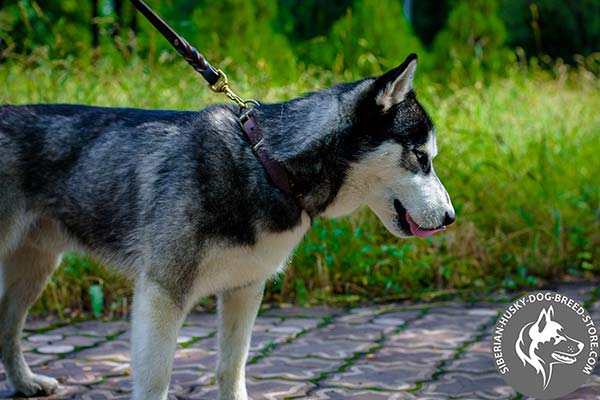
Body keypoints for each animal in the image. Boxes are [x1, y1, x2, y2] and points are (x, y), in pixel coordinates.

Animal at [0, 54, 450, 400]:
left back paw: (24, 383)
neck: (267, 165)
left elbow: (231, 368)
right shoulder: (161, 294)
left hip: (35, 269)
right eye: (421, 157)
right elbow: (156, 379)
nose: (450, 219)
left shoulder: (245, 290)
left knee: (8, 328)